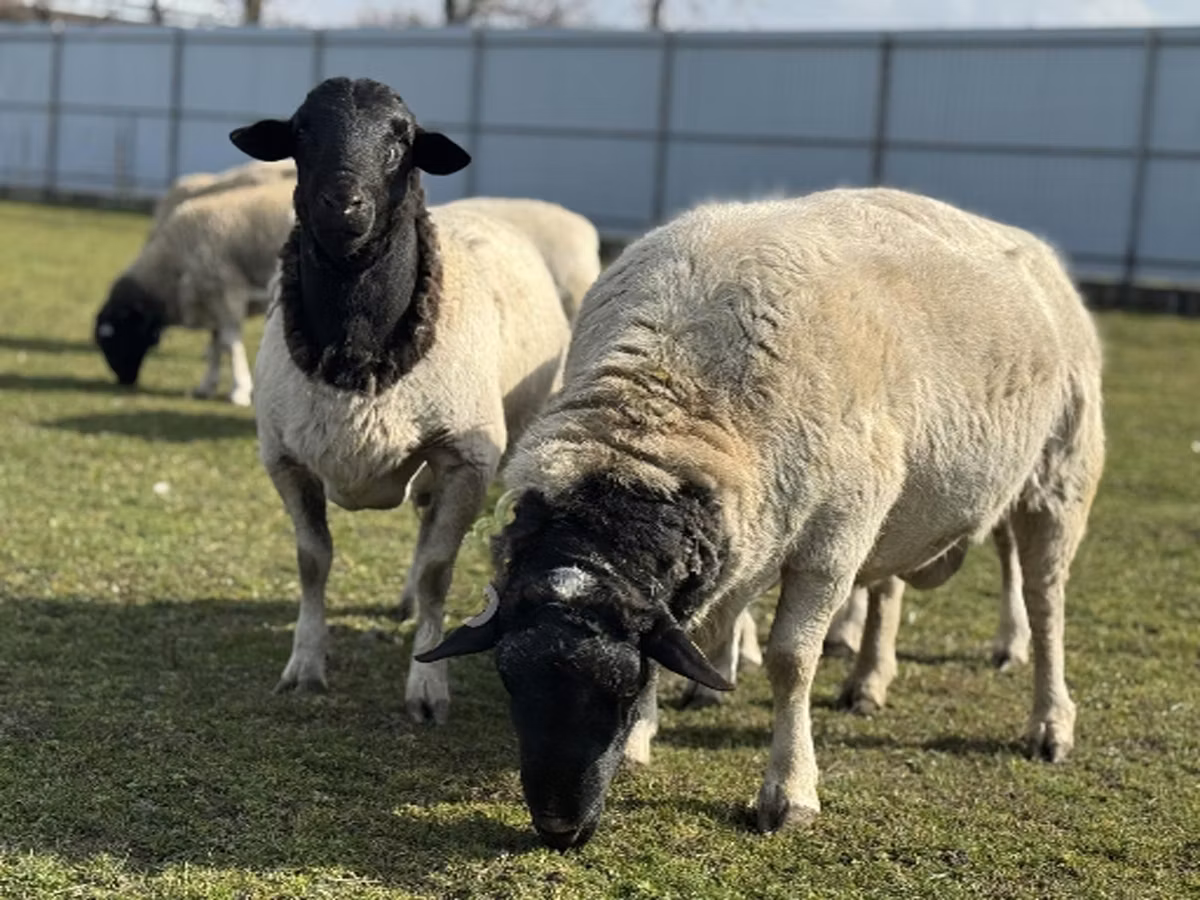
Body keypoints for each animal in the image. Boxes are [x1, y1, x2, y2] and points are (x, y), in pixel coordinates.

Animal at [94, 179, 296, 406]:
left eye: (116, 336)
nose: (124, 380)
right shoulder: (211, 297)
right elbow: (216, 342)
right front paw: (207, 386)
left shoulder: (225, 291)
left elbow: (230, 343)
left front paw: (240, 390)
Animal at [228, 77, 571, 724]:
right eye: (302, 132)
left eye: (401, 142)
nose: (343, 205)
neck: (357, 340)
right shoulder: (284, 457)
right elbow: (313, 561)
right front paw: (305, 665)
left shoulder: (466, 456)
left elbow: (439, 569)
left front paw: (427, 686)